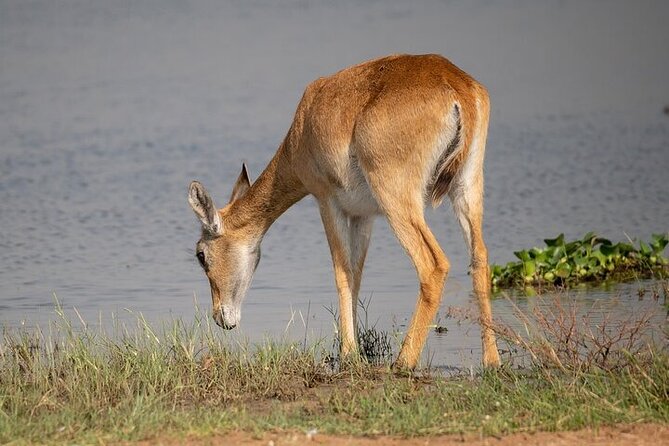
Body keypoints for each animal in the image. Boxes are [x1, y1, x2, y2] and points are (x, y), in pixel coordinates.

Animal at [188, 54, 500, 368]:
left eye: (201, 255)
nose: (220, 317)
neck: (304, 124)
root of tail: (456, 86)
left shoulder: (327, 202)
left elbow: (341, 273)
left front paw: (348, 354)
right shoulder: (363, 215)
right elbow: (356, 275)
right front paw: (355, 349)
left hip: (398, 200)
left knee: (433, 265)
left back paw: (403, 361)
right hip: (466, 187)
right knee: (480, 259)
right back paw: (491, 360)